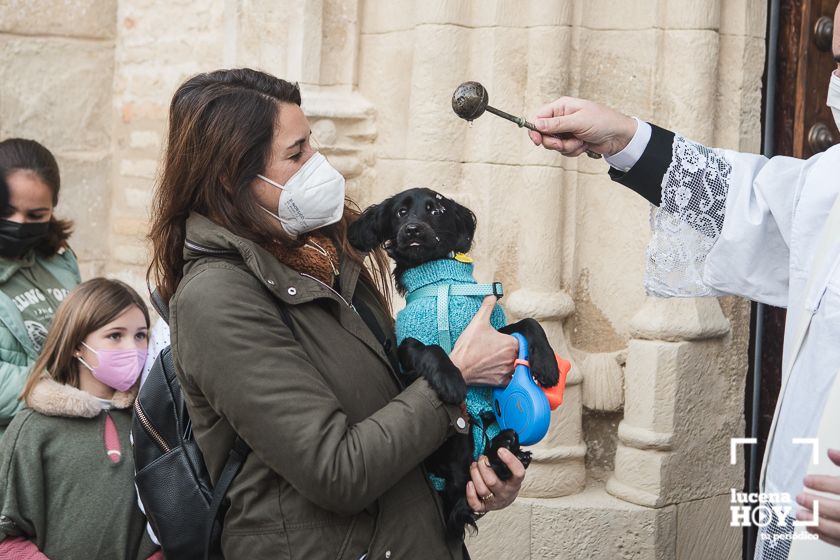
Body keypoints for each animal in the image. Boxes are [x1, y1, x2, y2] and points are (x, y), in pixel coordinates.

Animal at [348, 189, 556, 544]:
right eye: (401, 212)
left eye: (436, 209)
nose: (413, 229)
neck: (441, 283)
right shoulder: (404, 350)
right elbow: (429, 348)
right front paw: (451, 379)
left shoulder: (495, 330)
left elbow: (529, 323)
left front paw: (548, 363)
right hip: (455, 434)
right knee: (460, 478)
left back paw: (507, 450)